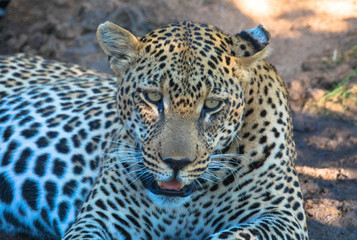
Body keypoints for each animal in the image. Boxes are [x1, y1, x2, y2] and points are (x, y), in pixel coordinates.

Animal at [0, 21, 306, 240]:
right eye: (153, 97)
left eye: (212, 104)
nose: (176, 163)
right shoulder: (99, 218)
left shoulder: (283, 216)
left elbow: (236, 236)